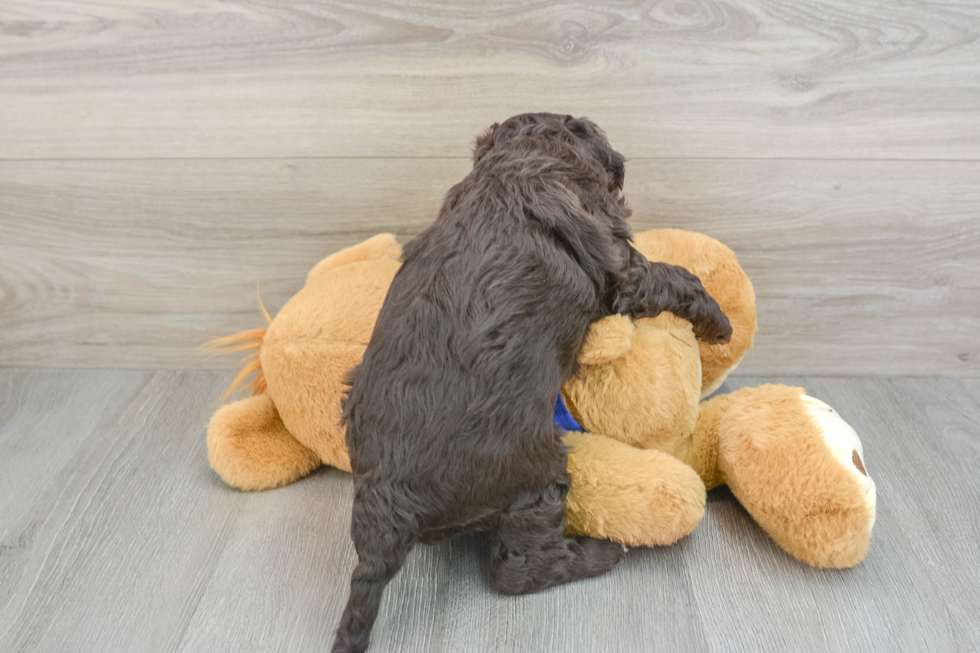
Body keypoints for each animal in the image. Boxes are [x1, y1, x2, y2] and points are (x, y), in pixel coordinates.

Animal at [334, 114, 732, 648]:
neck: (517, 162)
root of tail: (387, 500)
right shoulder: (620, 263)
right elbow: (673, 275)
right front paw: (720, 323)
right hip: (536, 479)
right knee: (517, 571)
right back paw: (600, 553)